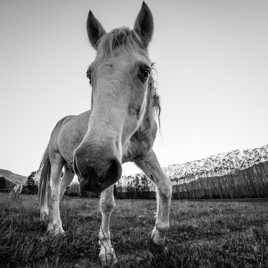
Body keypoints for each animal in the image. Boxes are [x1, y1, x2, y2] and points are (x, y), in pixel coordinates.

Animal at [37, 2, 172, 266]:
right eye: (90, 74)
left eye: (144, 71)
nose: (92, 163)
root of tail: (61, 121)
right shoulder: (110, 163)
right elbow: (107, 204)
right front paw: (107, 250)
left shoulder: (142, 155)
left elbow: (165, 186)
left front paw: (157, 241)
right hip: (58, 161)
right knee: (53, 192)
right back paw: (56, 229)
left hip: (72, 168)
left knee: (59, 192)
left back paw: (52, 225)